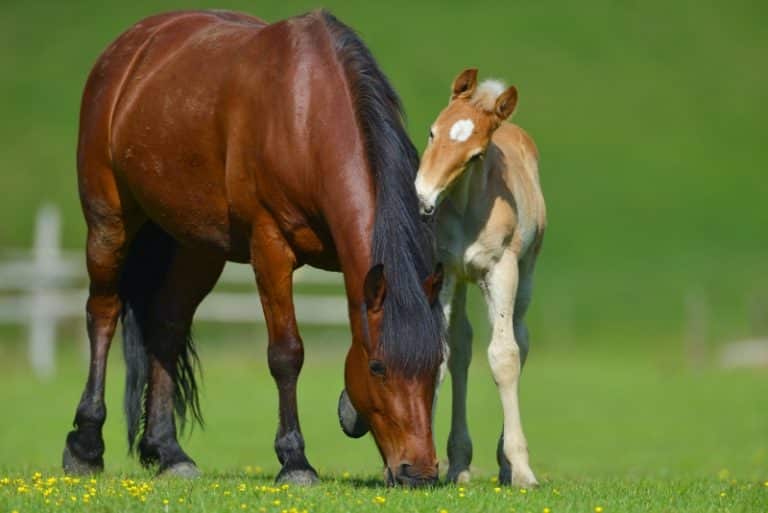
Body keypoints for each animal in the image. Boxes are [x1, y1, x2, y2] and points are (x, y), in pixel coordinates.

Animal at [63, 10, 448, 486]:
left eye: (435, 364)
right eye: (378, 368)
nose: (421, 472)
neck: (307, 116)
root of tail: (129, 48)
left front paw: (349, 412)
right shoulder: (270, 247)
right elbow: (287, 353)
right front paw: (295, 461)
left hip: (197, 247)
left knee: (166, 326)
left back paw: (169, 452)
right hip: (109, 221)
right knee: (103, 313)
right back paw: (85, 445)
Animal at [414, 70, 544, 486]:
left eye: (476, 155)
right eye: (432, 132)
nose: (423, 197)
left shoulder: (501, 270)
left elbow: (504, 356)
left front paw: (522, 469)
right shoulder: (444, 271)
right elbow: (440, 353)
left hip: (525, 274)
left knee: (520, 339)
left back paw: (504, 463)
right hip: (461, 281)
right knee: (461, 347)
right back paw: (459, 464)